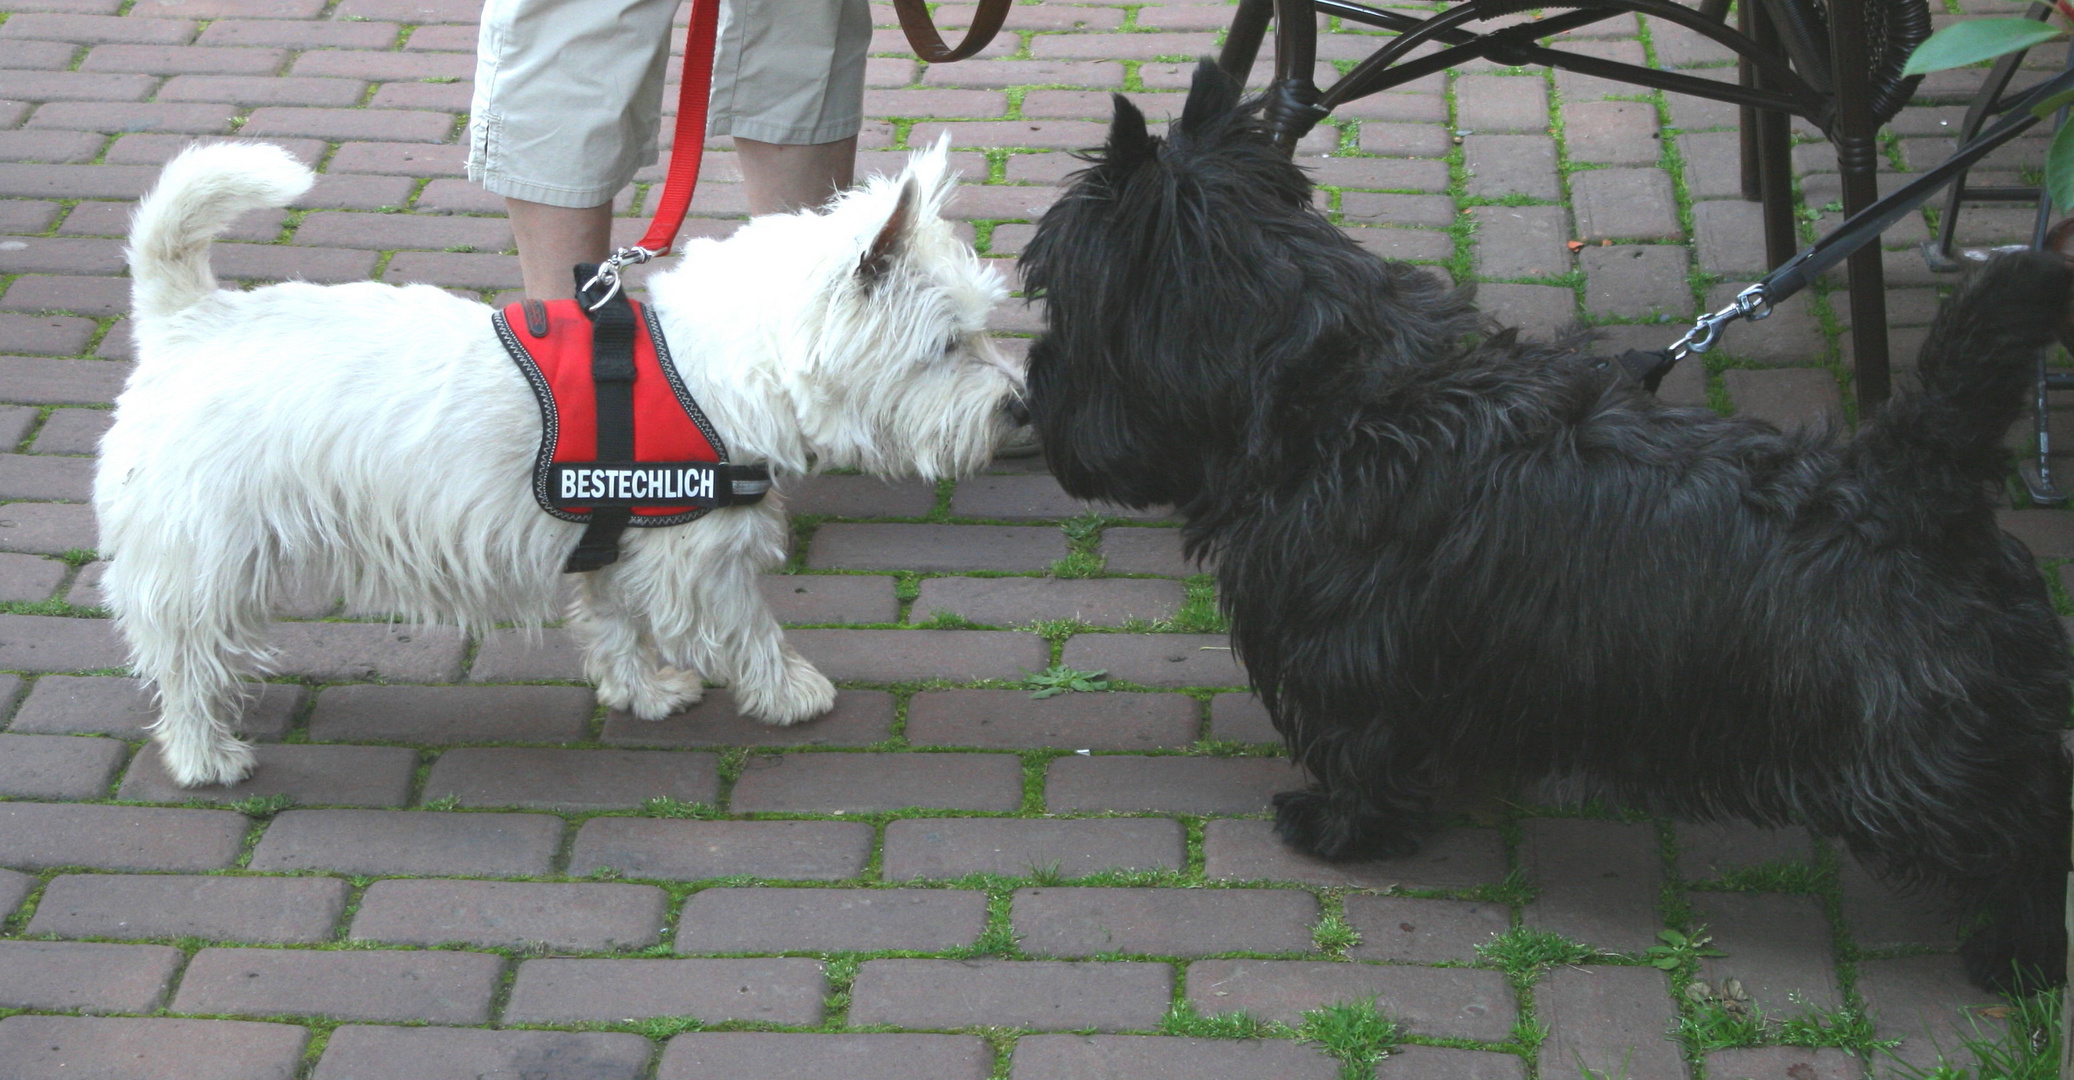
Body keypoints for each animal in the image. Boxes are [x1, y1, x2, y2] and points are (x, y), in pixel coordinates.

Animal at [97, 140, 1020, 783]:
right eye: (945, 346)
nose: (1017, 407)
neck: (713, 369)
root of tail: (189, 321)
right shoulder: (701, 556)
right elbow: (748, 626)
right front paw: (793, 694)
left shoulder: (615, 533)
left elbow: (615, 623)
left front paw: (643, 692)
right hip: (201, 550)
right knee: (183, 650)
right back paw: (205, 754)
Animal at [1028, 56, 2074, 986]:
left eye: (1058, 302)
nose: (1032, 393)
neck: (1334, 396)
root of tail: (1915, 484)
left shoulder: (1341, 651)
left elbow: (1359, 747)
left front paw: (1341, 828)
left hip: (1918, 763)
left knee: (2029, 830)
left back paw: (2017, 954)